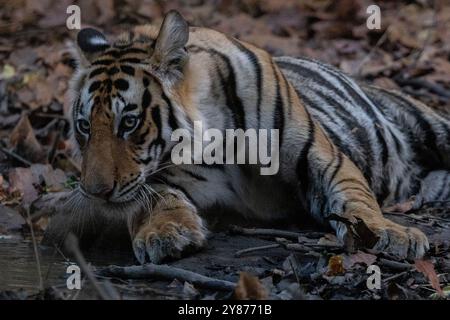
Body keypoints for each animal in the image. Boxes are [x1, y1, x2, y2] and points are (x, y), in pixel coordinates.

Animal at [67, 10, 450, 264]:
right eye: (85, 126)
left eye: (129, 122)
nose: (93, 192)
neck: (210, 141)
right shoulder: (158, 178)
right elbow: (157, 198)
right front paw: (166, 233)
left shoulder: (325, 158)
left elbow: (356, 199)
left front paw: (391, 234)